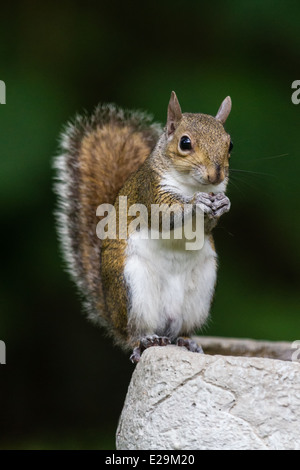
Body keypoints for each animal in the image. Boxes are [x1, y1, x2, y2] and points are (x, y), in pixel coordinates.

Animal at [54, 92, 232, 364]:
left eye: (230, 145)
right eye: (185, 143)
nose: (216, 175)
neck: (191, 185)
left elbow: (208, 225)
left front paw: (223, 203)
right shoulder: (149, 190)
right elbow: (163, 217)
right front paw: (196, 203)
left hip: (201, 292)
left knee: (180, 331)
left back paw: (187, 341)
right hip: (133, 289)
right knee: (134, 334)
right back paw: (146, 340)